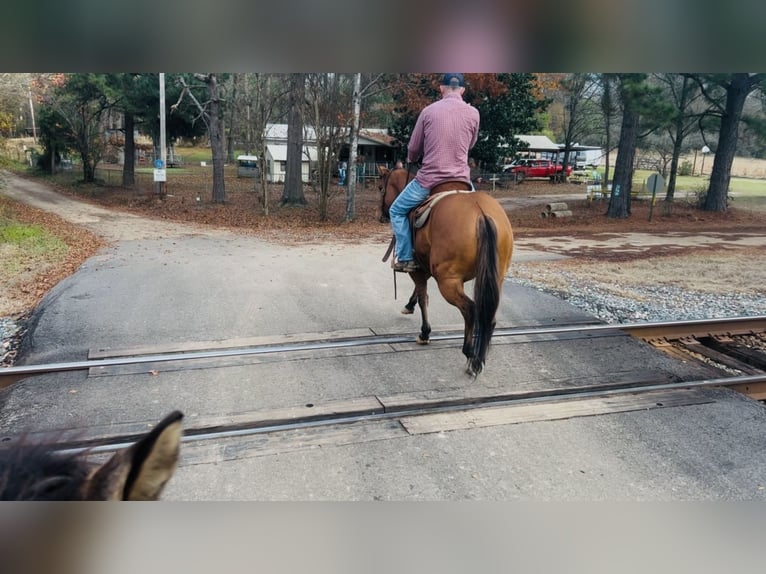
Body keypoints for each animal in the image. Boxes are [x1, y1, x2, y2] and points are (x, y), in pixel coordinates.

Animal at [380, 165, 512, 378]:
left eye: (380, 188)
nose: (381, 215)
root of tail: (481, 213)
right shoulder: (424, 266)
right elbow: (419, 293)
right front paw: (409, 305)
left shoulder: (417, 269)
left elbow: (423, 297)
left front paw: (424, 332)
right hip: (496, 277)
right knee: (488, 316)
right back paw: (480, 357)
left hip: (447, 281)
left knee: (470, 309)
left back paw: (470, 355)